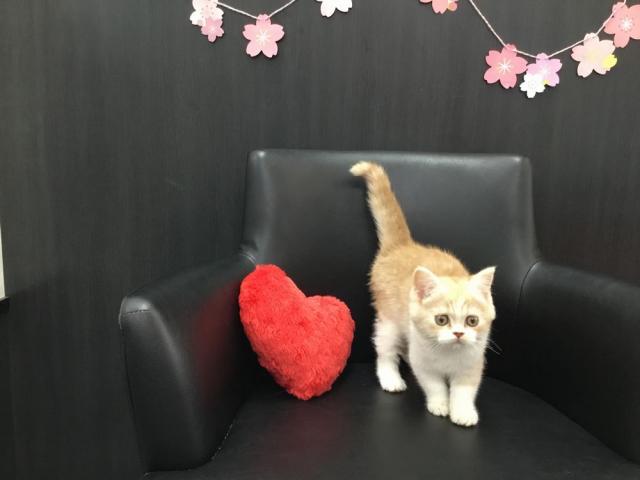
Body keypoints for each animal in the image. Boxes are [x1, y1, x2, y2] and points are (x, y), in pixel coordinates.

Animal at [351, 161, 496, 427]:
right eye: (441, 319)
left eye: (472, 321)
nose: (458, 333)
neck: (448, 355)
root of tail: (403, 246)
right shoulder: (423, 363)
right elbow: (434, 384)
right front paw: (440, 404)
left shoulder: (473, 363)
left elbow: (464, 390)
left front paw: (462, 412)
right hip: (388, 321)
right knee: (385, 350)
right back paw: (391, 378)